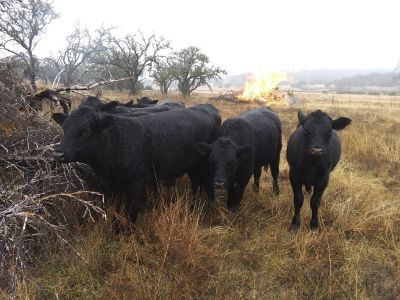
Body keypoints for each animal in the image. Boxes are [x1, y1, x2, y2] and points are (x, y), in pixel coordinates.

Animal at [51, 104, 220, 221]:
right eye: (64, 129)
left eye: (86, 131)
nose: (58, 153)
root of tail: (205, 108)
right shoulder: (112, 188)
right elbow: (116, 212)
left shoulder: (137, 186)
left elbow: (130, 214)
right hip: (192, 167)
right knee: (196, 185)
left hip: (204, 166)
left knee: (206, 185)